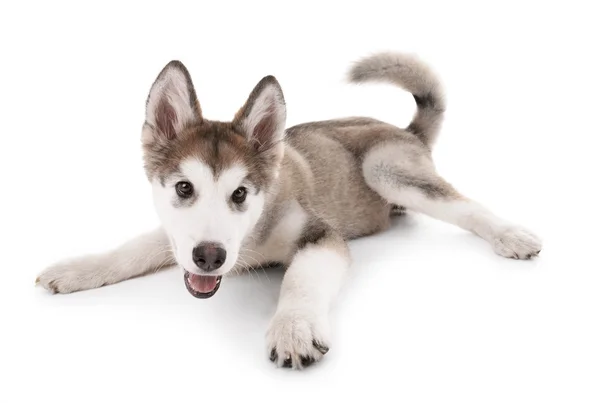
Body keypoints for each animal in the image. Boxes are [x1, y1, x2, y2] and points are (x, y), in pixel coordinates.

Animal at [37, 52, 544, 370]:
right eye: (184, 188)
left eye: (241, 194)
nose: (210, 258)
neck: (251, 240)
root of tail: (405, 130)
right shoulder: (178, 238)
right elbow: (133, 249)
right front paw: (78, 269)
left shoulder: (322, 236)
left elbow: (301, 279)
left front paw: (293, 329)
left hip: (385, 167)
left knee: (465, 205)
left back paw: (510, 235)